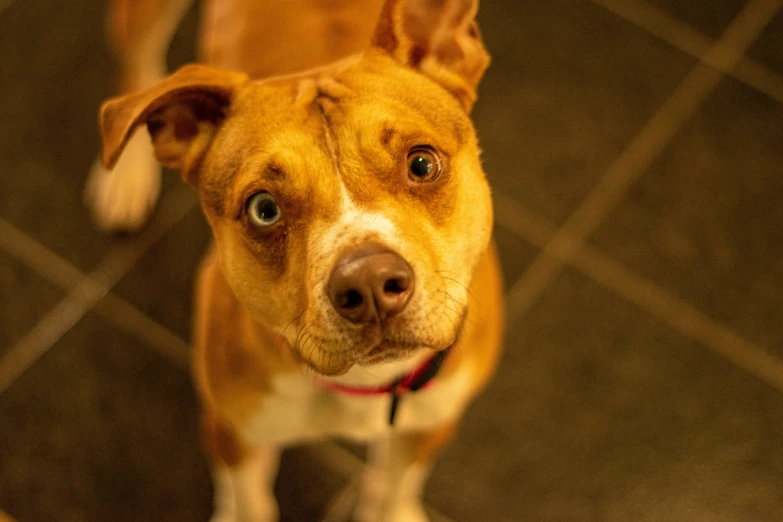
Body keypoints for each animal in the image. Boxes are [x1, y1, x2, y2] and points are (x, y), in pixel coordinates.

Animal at [92, 1, 506, 520]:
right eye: (264, 209)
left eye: (422, 164)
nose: (370, 284)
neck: (361, 385)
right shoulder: (237, 432)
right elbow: (249, 502)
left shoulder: (428, 425)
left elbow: (396, 486)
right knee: (136, 63)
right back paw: (123, 179)